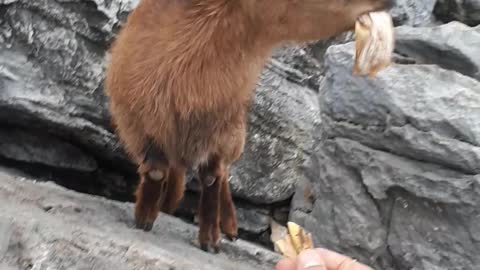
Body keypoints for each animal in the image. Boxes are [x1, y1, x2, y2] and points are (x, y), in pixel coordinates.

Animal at [103, 0, 392, 253]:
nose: (388, 3)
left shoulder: (220, 135)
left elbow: (212, 179)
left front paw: (211, 239)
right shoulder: (142, 127)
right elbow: (156, 172)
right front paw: (144, 218)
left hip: (236, 136)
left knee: (223, 176)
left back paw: (229, 227)